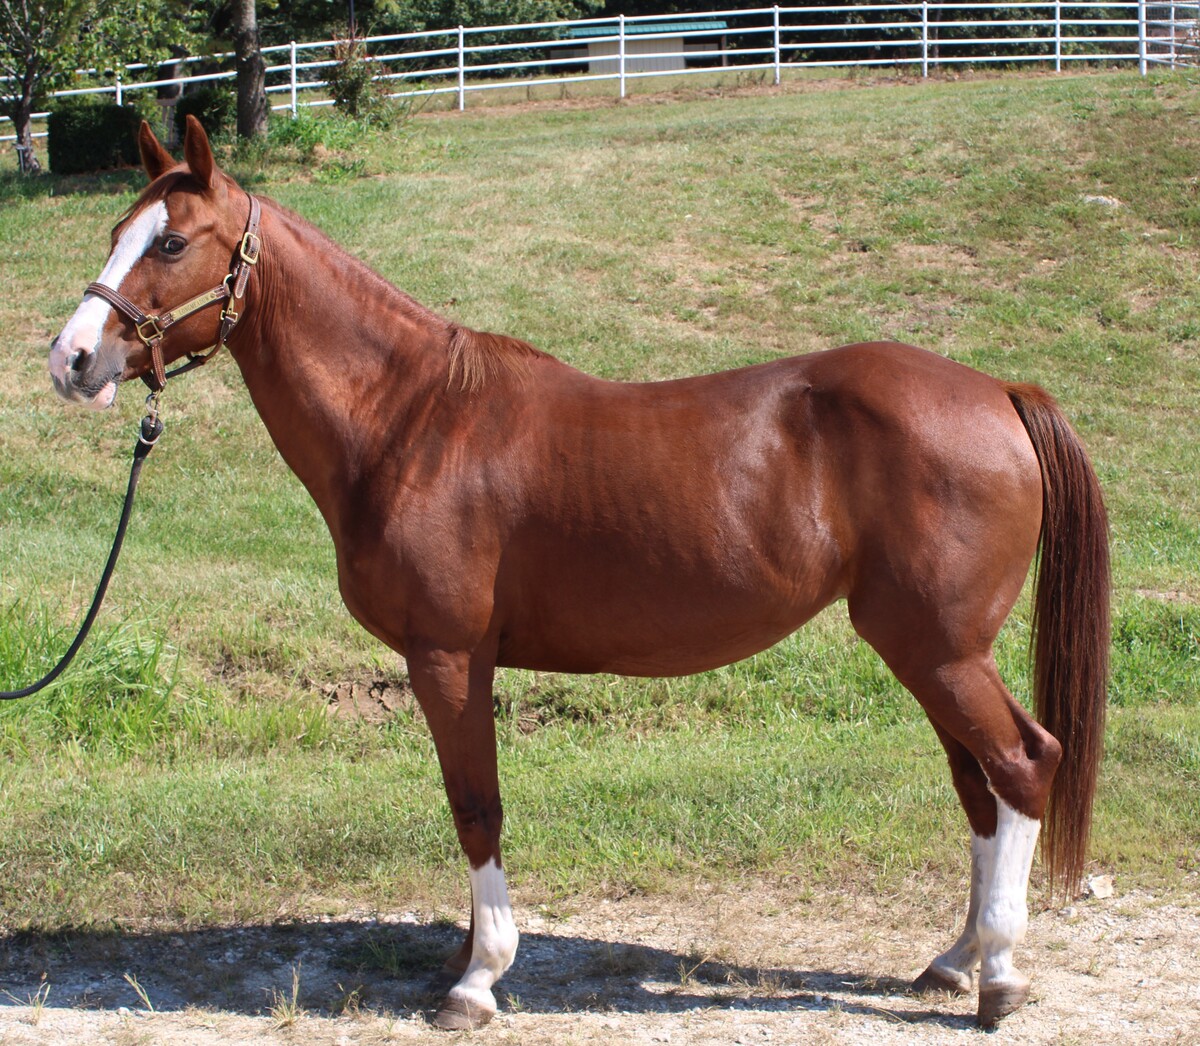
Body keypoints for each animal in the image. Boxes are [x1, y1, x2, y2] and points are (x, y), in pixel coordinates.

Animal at [47, 117, 1109, 1031]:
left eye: (171, 243)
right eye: (115, 231)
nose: (72, 360)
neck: (411, 419)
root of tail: (1000, 394)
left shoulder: (447, 658)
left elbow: (476, 806)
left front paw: (478, 981)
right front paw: (465, 959)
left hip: (939, 650)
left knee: (1024, 764)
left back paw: (999, 975)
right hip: (927, 651)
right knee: (979, 786)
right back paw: (953, 961)